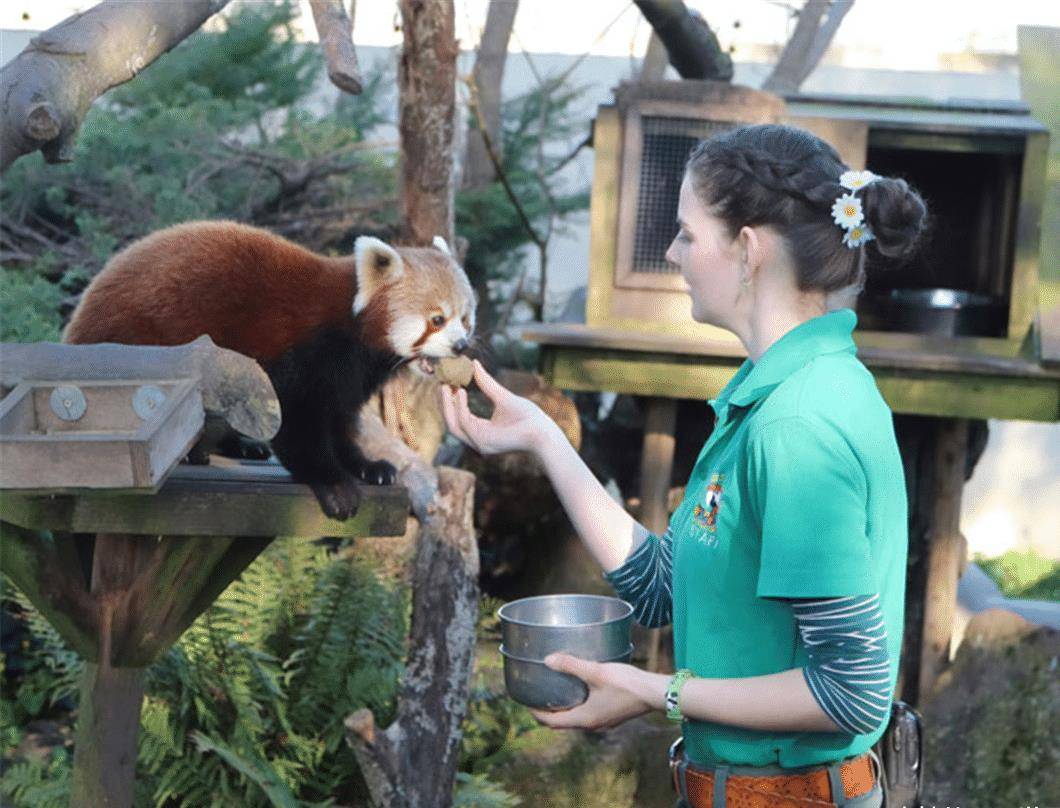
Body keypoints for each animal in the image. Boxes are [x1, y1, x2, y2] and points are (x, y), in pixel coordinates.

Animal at [64, 218, 479, 515]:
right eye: (437, 319)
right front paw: (333, 483)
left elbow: (340, 420)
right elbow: (297, 421)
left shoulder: (348, 376)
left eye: (465, 317)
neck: (352, 325)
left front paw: (366, 465)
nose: (460, 345)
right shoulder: (303, 352)